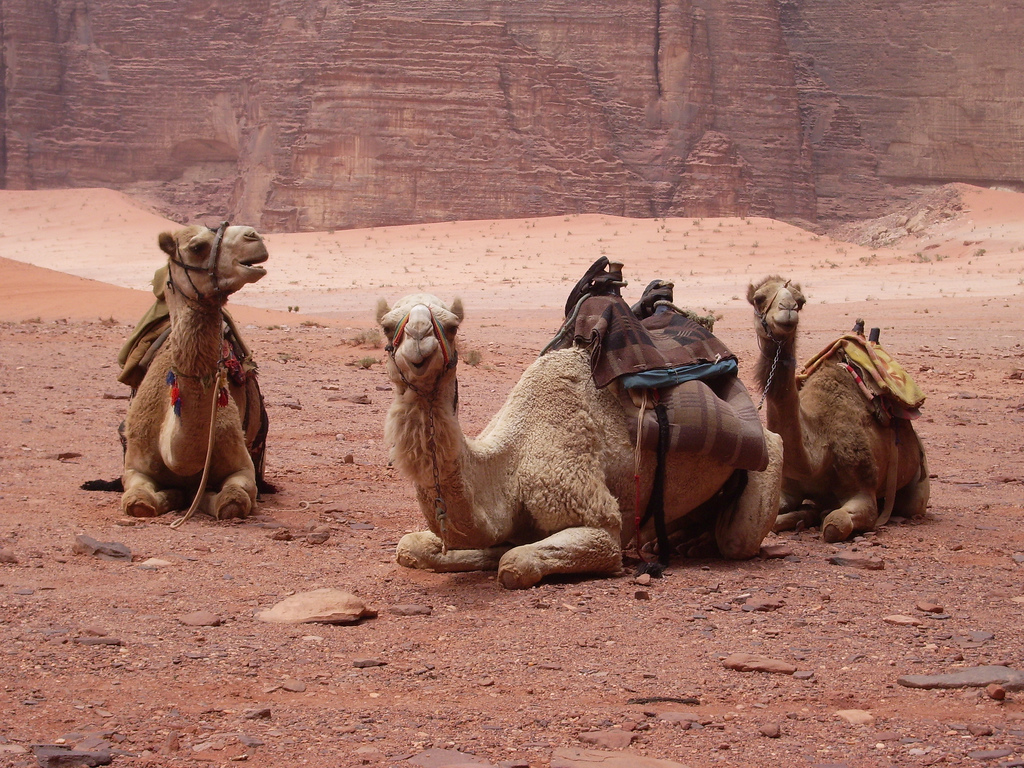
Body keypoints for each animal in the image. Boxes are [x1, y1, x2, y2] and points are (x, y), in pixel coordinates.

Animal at [121, 223, 268, 520]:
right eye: (197, 247)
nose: (253, 236)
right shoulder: (134, 469)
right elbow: (138, 502)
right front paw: (170, 495)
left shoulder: (243, 468)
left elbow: (233, 501)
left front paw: (197, 496)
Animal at [377, 292, 784, 589]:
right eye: (385, 327)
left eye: (452, 326)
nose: (418, 341)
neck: (512, 460)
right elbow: (409, 547)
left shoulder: (597, 518)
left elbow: (516, 562)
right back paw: (681, 539)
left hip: (764, 455)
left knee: (742, 527)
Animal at [747, 275, 929, 542]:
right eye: (759, 298)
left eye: (801, 301)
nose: (788, 309)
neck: (818, 453)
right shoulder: (788, 489)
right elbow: (774, 521)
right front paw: (798, 518)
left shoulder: (864, 490)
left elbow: (835, 525)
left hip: (916, 482)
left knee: (911, 505)